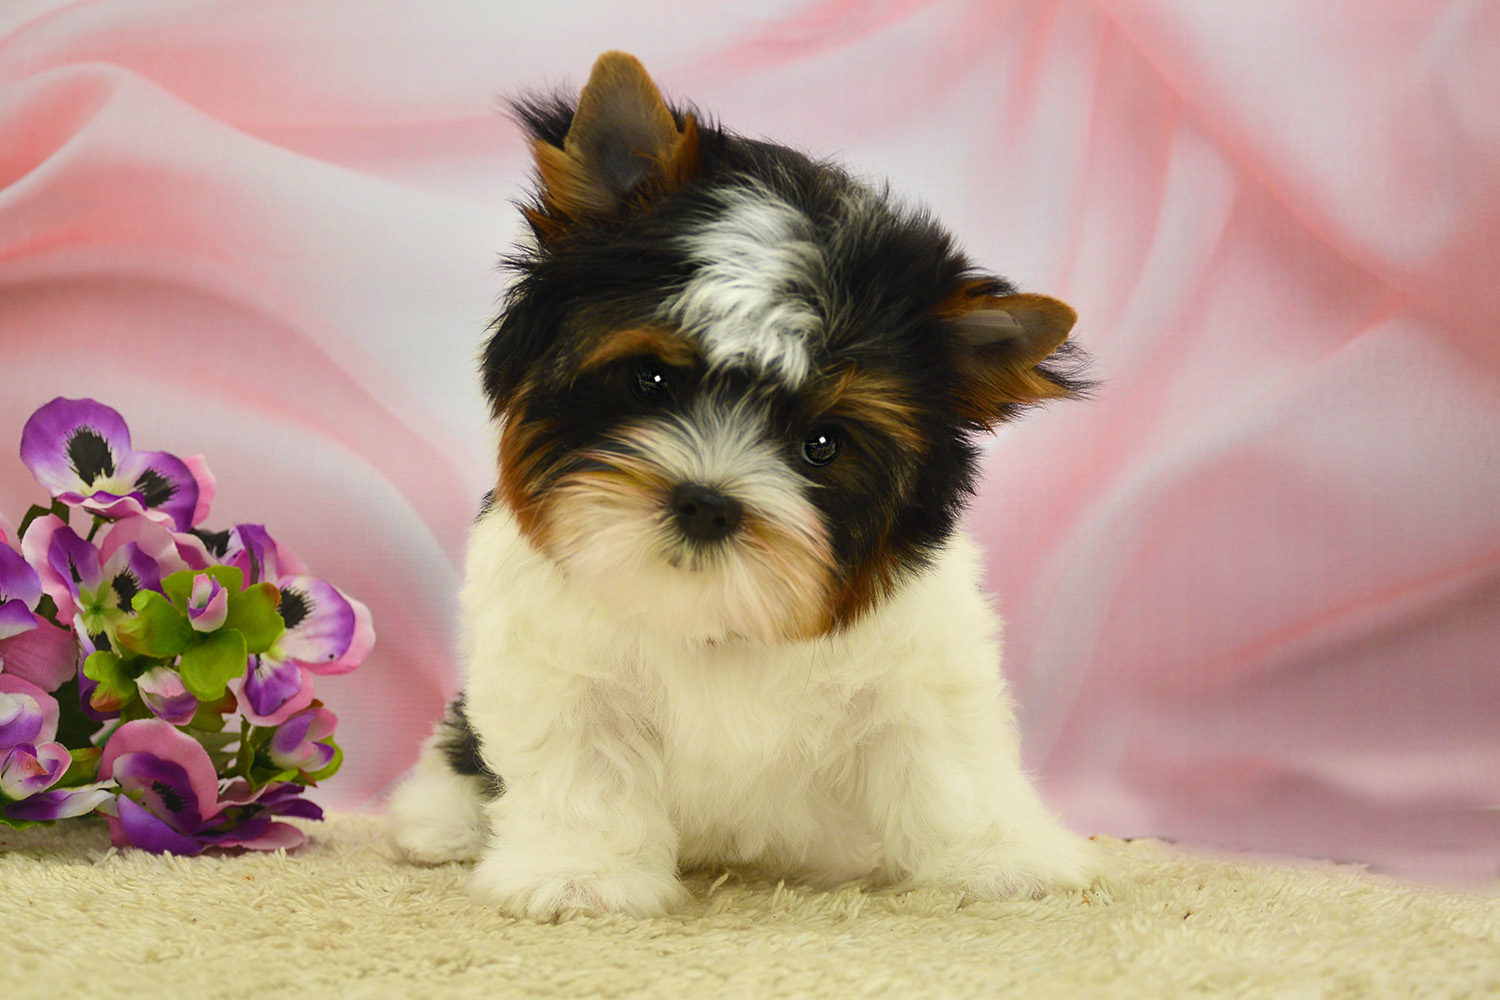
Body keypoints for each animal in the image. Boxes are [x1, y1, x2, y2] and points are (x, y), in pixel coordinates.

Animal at [388, 51, 1099, 920]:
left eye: (822, 444)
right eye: (651, 379)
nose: (705, 500)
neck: (715, 609)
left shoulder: (919, 663)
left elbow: (950, 758)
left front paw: (1006, 859)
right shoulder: (557, 662)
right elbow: (583, 763)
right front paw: (581, 873)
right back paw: (438, 824)